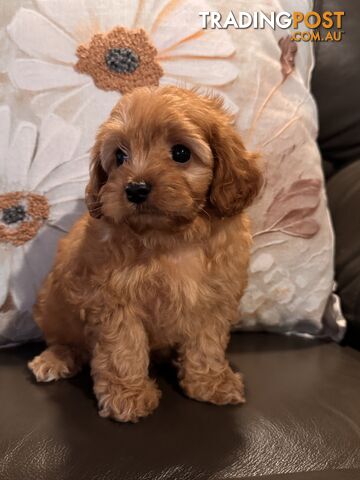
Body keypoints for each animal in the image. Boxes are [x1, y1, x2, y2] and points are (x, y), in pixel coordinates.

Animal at [27, 87, 258, 424]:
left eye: (181, 153)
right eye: (120, 156)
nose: (135, 188)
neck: (170, 237)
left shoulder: (213, 299)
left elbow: (207, 344)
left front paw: (211, 383)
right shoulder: (114, 300)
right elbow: (123, 349)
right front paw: (128, 396)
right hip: (52, 304)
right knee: (67, 340)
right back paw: (56, 358)